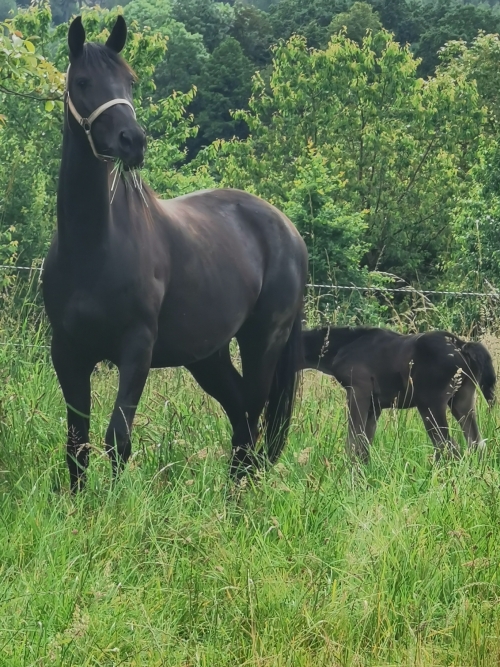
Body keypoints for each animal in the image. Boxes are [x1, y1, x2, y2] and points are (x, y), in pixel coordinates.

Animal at [42, 15, 308, 494]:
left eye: (130, 80)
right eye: (83, 81)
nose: (133, 141)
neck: (94, 246)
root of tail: (288, 230)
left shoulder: (137, 350)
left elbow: (117, 439)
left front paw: (113, 505)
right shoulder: (68, 352)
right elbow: (77, 441)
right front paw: (77, 503)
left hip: (263, 344)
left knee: (254, 420)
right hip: (208, 356)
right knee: (241, 419)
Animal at [300, 326, 496, 462]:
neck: (344, 346)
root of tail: (461, 345)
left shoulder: (358, 392)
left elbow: (353, 443)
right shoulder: (375, 406)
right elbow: (364, 444)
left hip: (430, 405)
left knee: (448, 446)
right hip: (462, 400)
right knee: (475, 443)